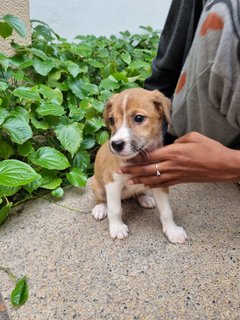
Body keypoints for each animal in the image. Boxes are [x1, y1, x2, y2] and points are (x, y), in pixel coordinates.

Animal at [91, 87, 188, 242]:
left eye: (139, 118)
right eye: (111, 120)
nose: (116, 145)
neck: (138, 158)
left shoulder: (159, 181)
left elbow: (166, 210)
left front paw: (172, 230)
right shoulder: (112, 184)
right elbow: (115, 209)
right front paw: (117, 228)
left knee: (137, 193)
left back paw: (145, 199)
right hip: (97, 185)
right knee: (102, 200)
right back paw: (100, 208)